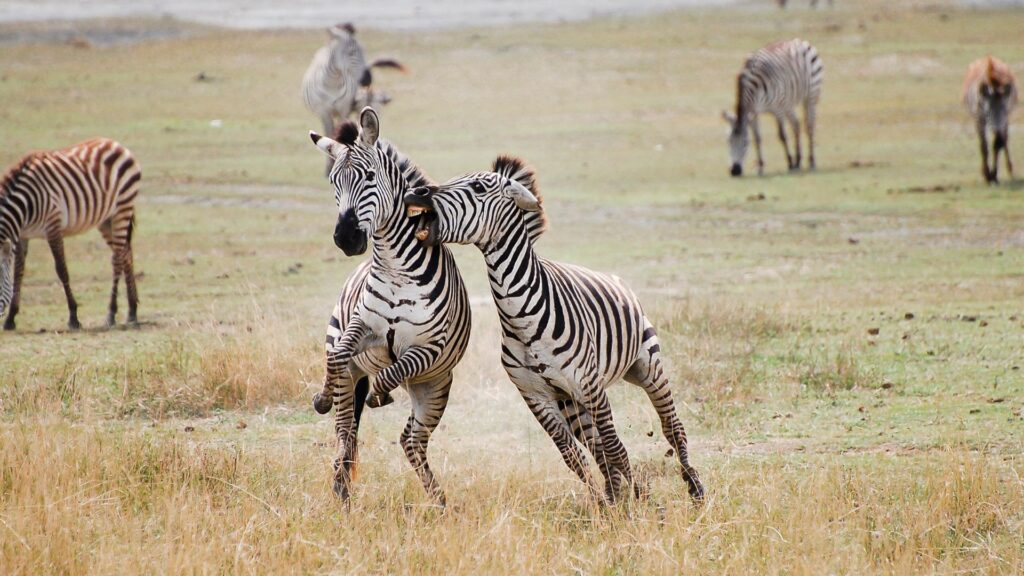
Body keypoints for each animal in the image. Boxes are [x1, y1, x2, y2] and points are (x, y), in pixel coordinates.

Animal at [0, 136, 142, 330]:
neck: (25, 205)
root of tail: (114, 143)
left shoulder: (53, 226)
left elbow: (62, 270)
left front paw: (73, 317)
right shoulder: (23, 235)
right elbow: (18, 272)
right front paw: (11, 318)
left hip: (123, 207)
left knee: (118, 258)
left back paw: (111, 313)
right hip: (107, 218)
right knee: (126, 254)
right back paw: (132, 311)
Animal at [299, 22, 403, 174]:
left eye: (364, 50)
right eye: (351, 52)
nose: (368, 78)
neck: (333, 83)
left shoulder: (344, 109)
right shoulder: (324, 111)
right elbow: (329, 133)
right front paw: (329, 166)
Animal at [305, 105, 468, 504]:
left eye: (368, 176)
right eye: (333, 183)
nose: (346, 239)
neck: (396, 268)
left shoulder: (428, 347)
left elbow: (394, 370)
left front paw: (382, 392)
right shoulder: (363, 328)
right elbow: (337, 355)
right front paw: (321, 396)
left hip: (434, 388)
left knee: (412, 441)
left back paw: (439, 501)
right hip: (352, 369)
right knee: (346, 428)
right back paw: (341, 490)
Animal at [399, 156, 704, 502]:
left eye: (477, 186)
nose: (415, 192)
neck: (523, 318)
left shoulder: (590, 385)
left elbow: (614, 448)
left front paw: (639, 503)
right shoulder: (536, 395)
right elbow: (574, 456)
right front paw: (607, 504)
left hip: (646, 366)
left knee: (671, 427)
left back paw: (695, 489)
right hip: (571, 401)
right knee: (598, 447)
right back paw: (620, 492)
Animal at [720, 37, 823, 176]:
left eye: (746, 143)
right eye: (728, 141)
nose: (735, 171)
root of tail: (800, 41)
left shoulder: (777, 109)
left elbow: (782, 135)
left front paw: (790, 163)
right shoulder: (754, 112)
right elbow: (758, 137)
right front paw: (760, 167)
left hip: (811, 96)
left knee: (810, 126)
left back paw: (811, 161)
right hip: (788, 104)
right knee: (796, 124)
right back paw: (798, 161)